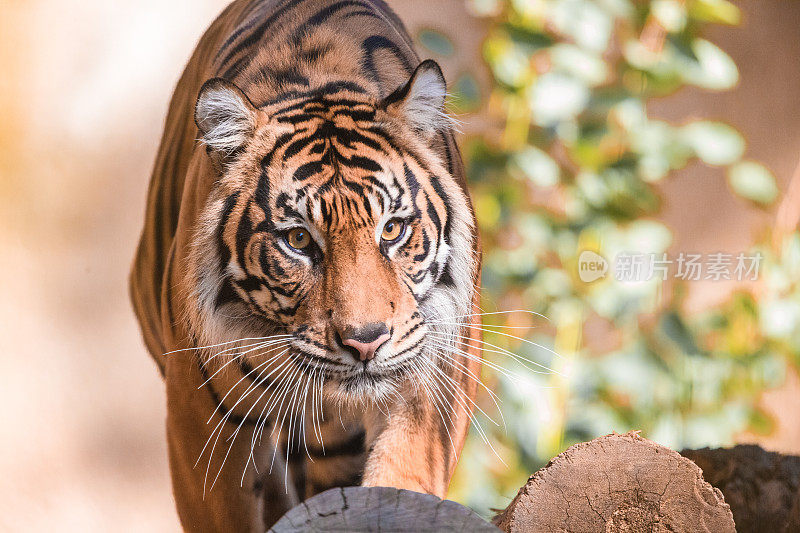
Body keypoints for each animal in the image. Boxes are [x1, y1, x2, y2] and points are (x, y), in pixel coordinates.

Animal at [130, 0, 482, 528]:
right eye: (298, 239)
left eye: (392, 230)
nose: (365, 341)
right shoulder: (200, 415)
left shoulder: (432, 377)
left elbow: (403, 476)